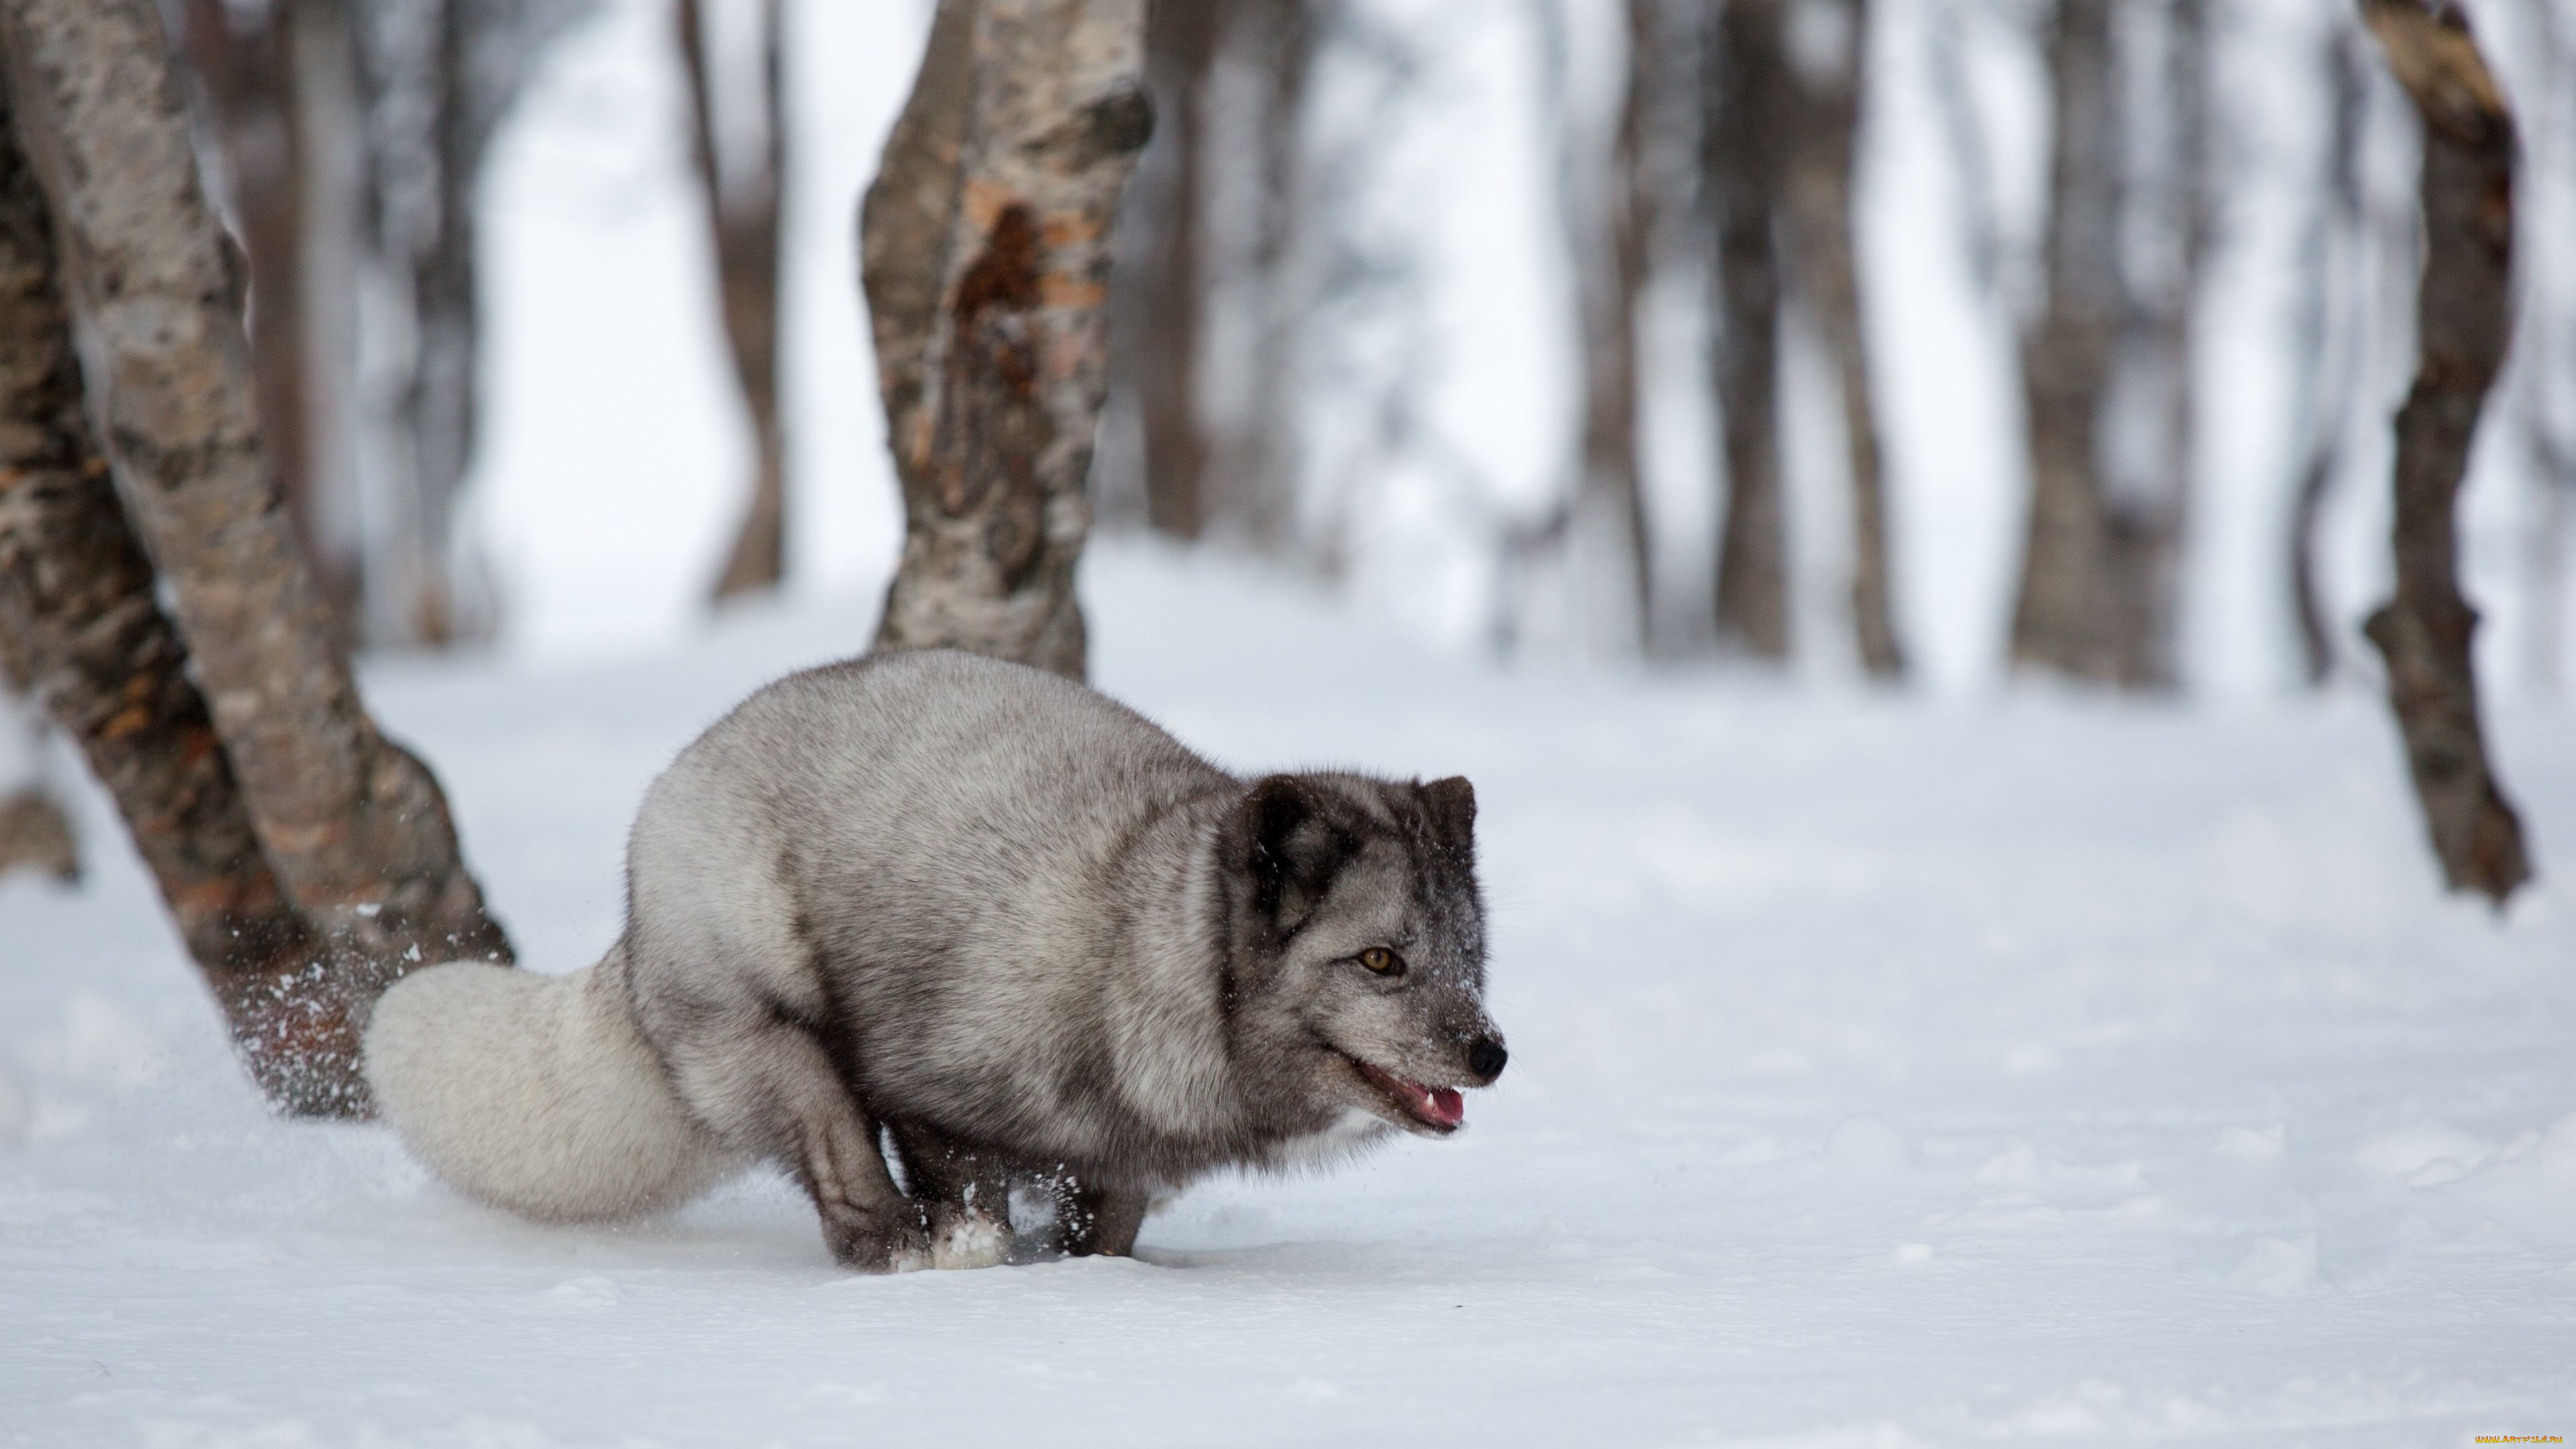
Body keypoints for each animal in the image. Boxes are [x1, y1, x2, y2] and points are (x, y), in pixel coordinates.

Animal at [353, 642, 1504, 1263]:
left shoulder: (1122, 1160)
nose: (1491, 1054)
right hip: (772, 1034)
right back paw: (900, 1247)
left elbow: (1110, 1227)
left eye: (1468, 957)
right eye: (1382, 962)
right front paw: (977, 1258)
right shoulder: (931, 1088)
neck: (1141, 953)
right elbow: (961, 1179)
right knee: (836, 1158)